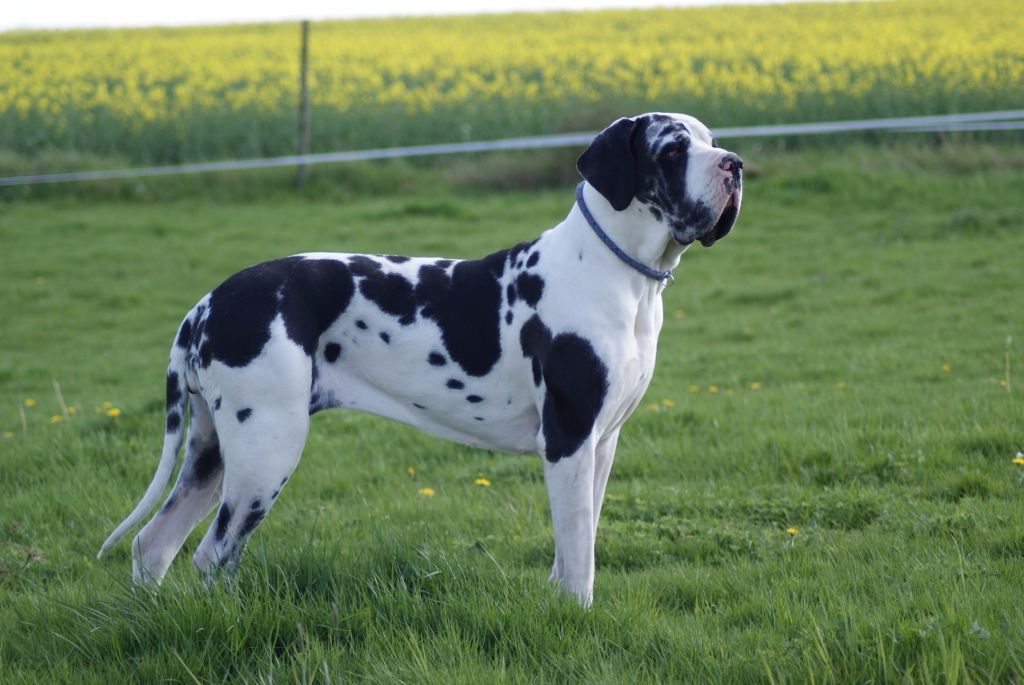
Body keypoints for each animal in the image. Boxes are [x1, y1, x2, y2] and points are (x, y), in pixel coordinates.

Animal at [97, 113, 745, 610]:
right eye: (673, 149)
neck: (620, 276)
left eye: (710, 137)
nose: (734, 163)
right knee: (214, 554)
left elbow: (574, 542)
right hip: (266, 450)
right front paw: (577, 614)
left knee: (153, 545)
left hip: (211, 453)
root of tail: (207, 303)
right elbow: (578, 551)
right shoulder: (567, 439)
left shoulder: (600, 443)